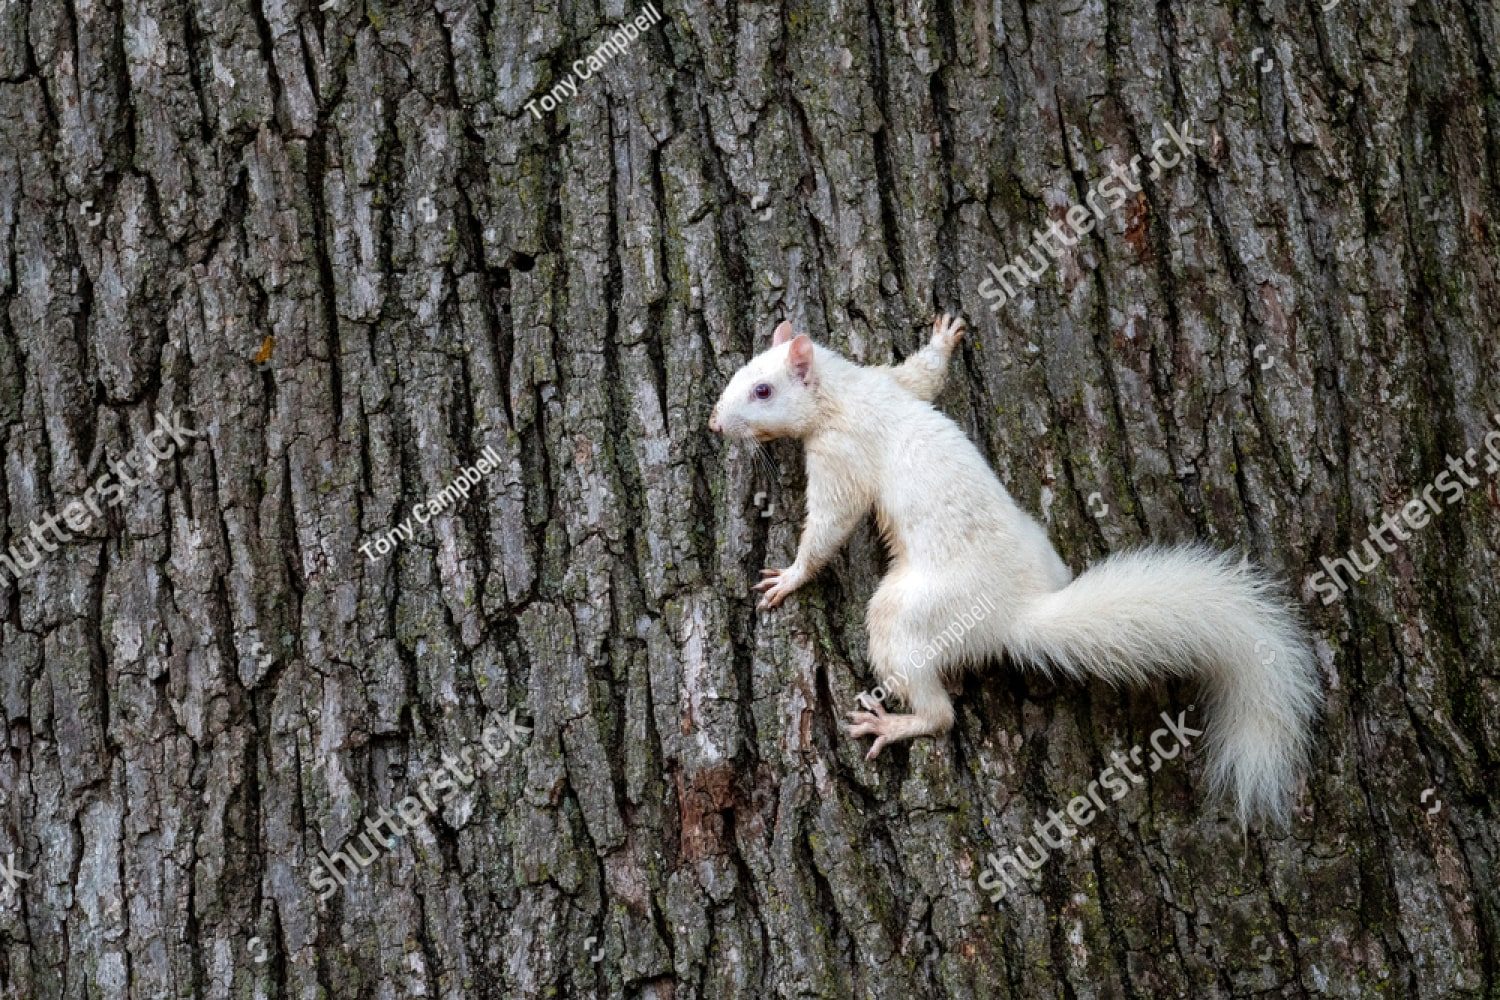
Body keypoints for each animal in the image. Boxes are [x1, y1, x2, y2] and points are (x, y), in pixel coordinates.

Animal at [709, 314, 1321, 825]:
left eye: (763, 391)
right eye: (738, 373)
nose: (715, 424)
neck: (845, 392)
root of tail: (1016, 614)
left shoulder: (843, 455)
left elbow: (830, 526)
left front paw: (790, 576)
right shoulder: (894, 382)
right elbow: (922, 374)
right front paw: (944, 338)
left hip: (909, 612)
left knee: (940, 712)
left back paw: (895, 723)